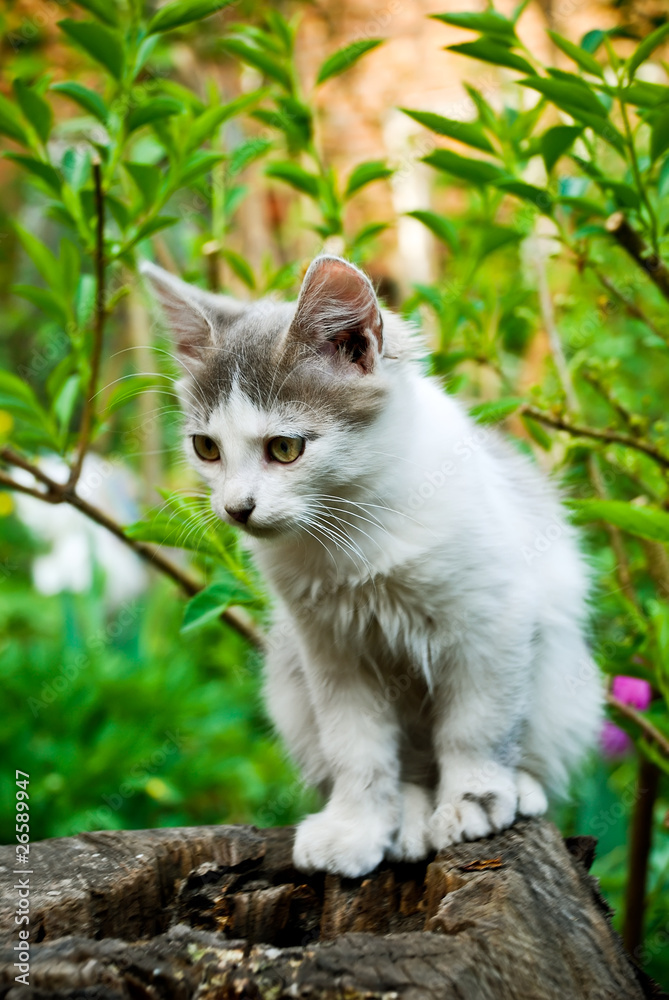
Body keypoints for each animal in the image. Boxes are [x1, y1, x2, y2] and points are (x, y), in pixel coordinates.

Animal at [141, 252, 600, 876]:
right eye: (206, 448)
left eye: (285, 448)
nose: (237, 508)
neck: (354, 532)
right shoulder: (330, 650)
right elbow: (356, 748)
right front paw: (356, 826)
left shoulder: (493, 622)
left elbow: (476, 724)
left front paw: (474, 797)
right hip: (289, 685)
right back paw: (407, 817)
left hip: (567, 680)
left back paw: (515, 790)